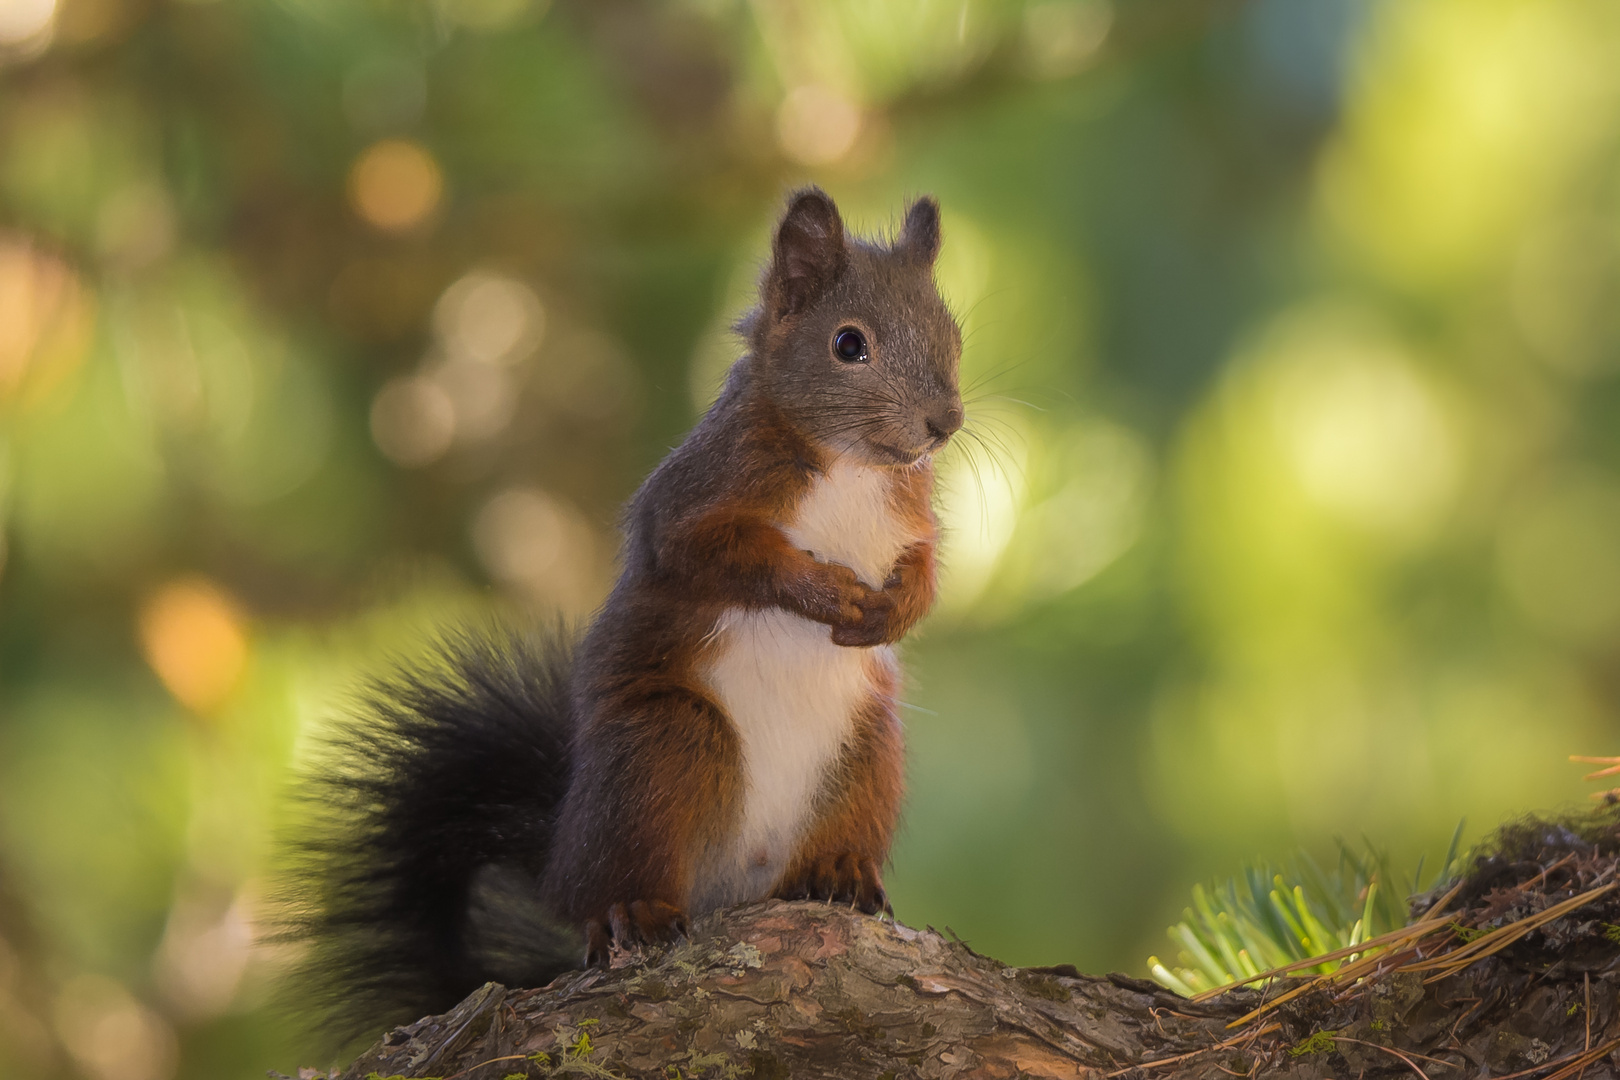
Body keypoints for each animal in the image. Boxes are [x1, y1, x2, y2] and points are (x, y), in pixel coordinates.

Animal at [291, 187, 959, 1036]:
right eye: (850, 345)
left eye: (952, 332)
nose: (946, 424)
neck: (851, 464)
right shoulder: (692, 499)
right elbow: (716, 556)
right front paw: (821, 591)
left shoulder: (913, 521)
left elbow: (927, 569)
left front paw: (895, 611)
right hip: (664, 746)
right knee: (606, 886)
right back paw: (632, 911)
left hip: (868, 751)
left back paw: (835, 872)